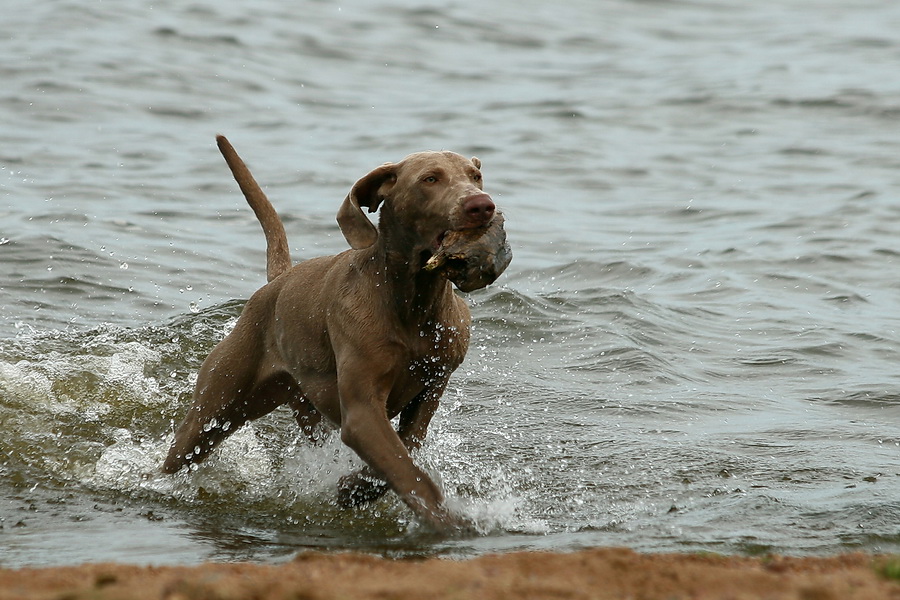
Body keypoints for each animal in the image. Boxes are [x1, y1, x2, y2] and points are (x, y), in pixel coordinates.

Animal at [160, 135, 500, 528]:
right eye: (430, 179)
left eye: (475, 176)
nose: (482, 205)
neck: (411, 300)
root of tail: (278, 281)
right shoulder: (362, 411)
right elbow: (410, 473)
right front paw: (448, 522)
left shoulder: (431, 386)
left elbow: (406, 449)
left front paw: (356, 489)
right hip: (216, 406)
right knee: (183, 447)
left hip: (302, 406)